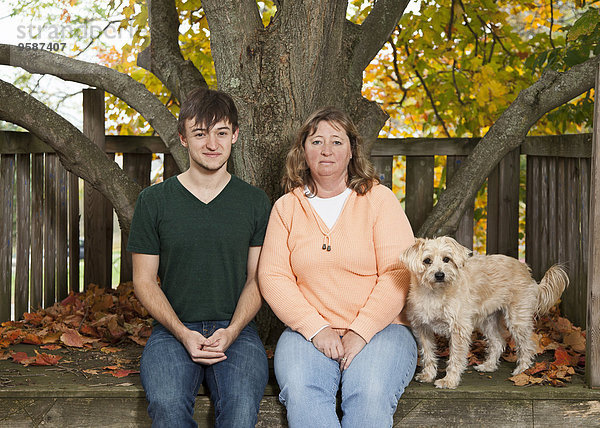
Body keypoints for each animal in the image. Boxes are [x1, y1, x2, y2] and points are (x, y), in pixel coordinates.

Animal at [400, 236, 568, 390]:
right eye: (427, 261)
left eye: (446, 259)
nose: (440, 275)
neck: (434, 294)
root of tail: (526, 271)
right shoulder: (422, 328)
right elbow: (428, 354)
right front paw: (428, 375)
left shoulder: (459, 329)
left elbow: (455, 358)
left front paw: (449, 381)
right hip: (488, 321)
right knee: (498, 342)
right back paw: (488, 366)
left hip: (517, 320)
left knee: (527, 345)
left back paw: (522, 370)